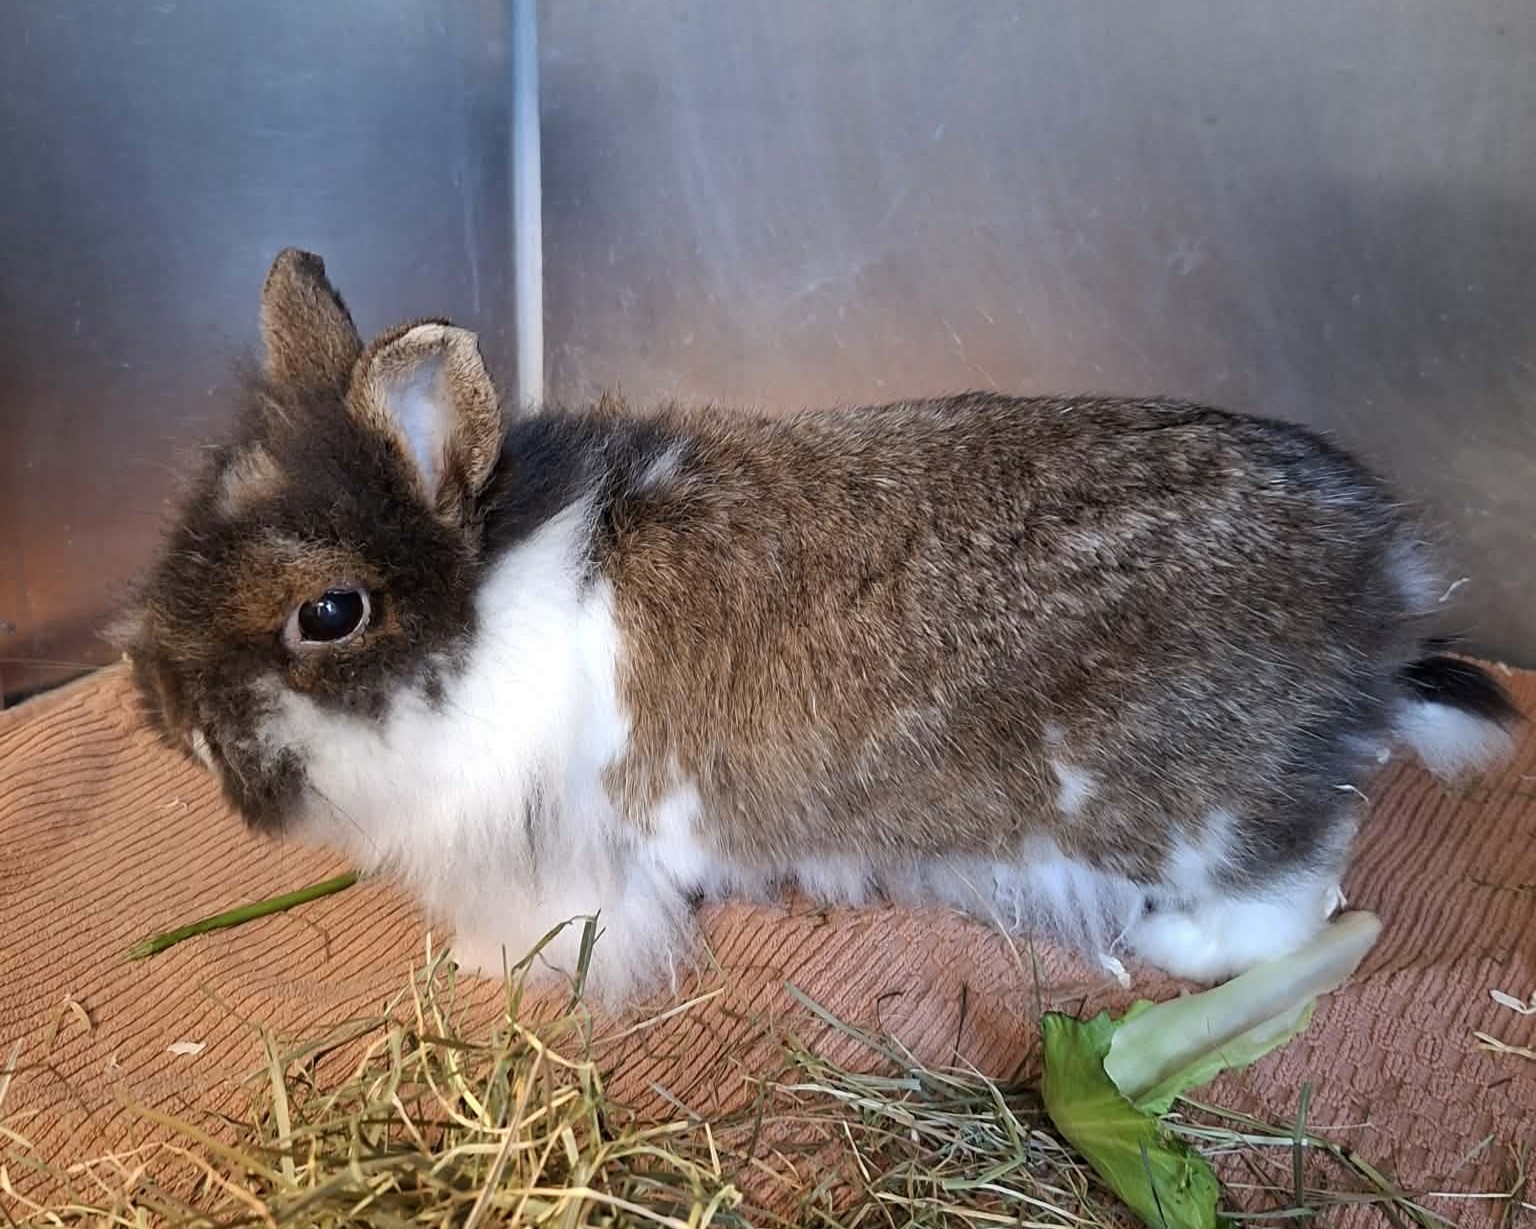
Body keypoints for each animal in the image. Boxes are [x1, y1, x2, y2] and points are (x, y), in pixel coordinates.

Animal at [113, 248, 1522, 1005]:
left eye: (330, 611)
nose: (170, 716)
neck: (487, 605)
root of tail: (1382, 582)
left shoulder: (556, 852)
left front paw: (482, 973)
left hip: (1201, 808)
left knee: (1296, 887)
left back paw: (1178, 943)